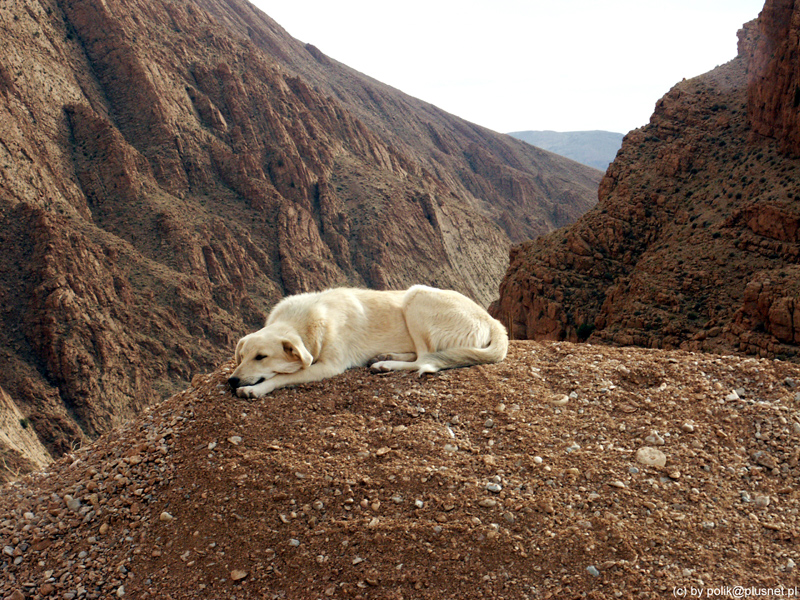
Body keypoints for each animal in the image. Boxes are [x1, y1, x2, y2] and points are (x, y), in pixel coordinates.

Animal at [228, 286, 510, 398]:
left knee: (425, 357)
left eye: (261, 357)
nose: (231, 380)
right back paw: (385, 357)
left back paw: (386, 365)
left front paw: (256, 389)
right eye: (242, 357)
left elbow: (283, 376)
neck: (305, 320)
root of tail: (492, 320)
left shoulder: (329, 366)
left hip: (416, 296)